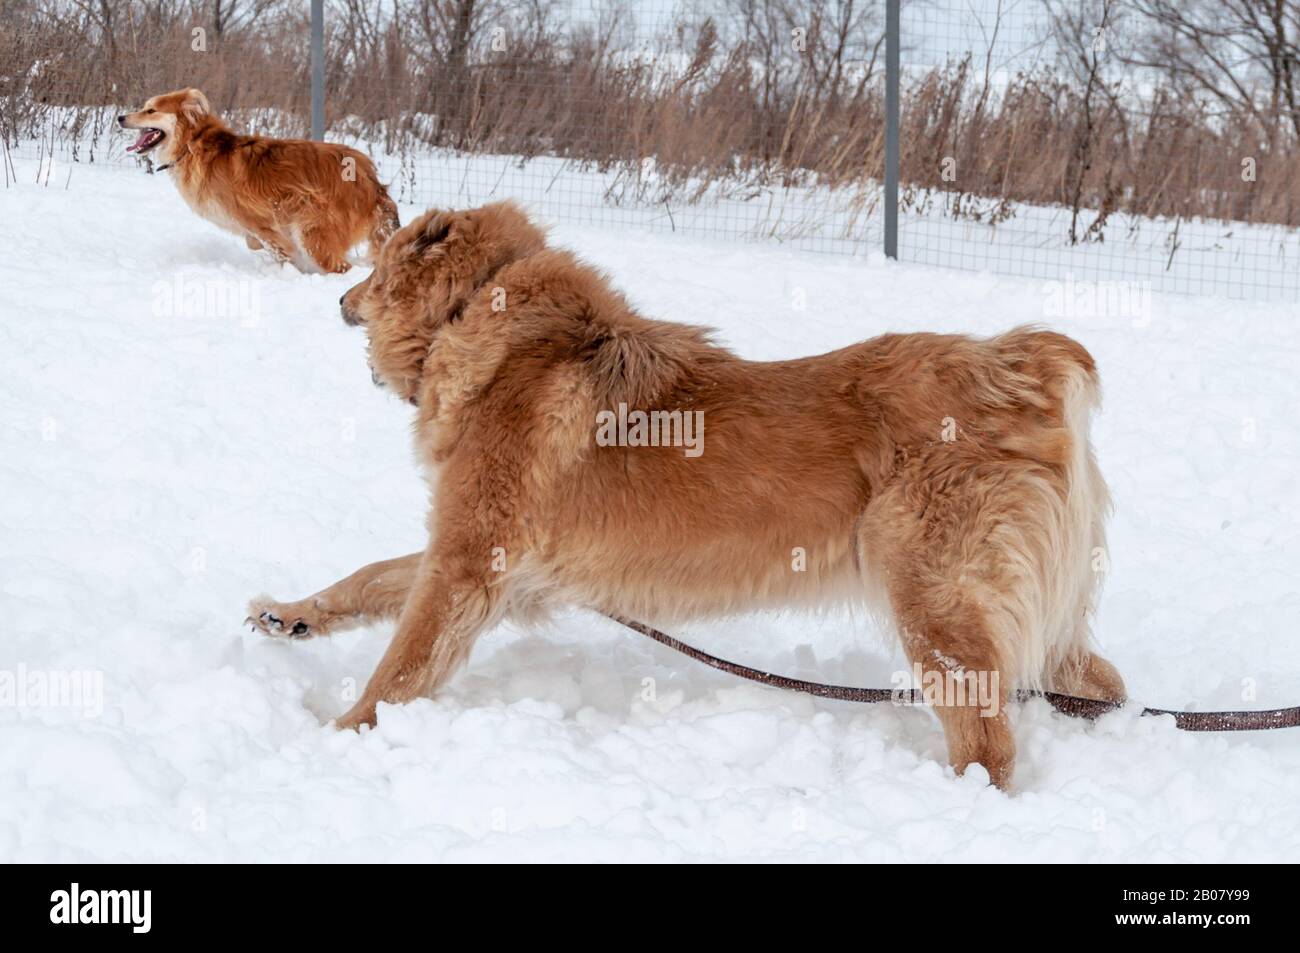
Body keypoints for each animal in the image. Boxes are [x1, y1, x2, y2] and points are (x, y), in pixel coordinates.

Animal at [119, 87, 397, 273]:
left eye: (150, 110)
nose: (121, 117)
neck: (193, 145)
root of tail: (373, 183)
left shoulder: (259, 220)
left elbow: (275, 246)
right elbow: (254, 243)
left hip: (312, 228)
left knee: (339, 266)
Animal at [245, 202, 1128, 790]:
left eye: (376, 263)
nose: (338, 297)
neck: (485, 315)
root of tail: (1025, 364)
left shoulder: (467, 563)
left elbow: (397, 668)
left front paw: (342, 737)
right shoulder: (489, 566)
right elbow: (368, 579)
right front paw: (291, 615)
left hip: (935, 605)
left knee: (989, 746)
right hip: (1034, 619)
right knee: (1098, 686)